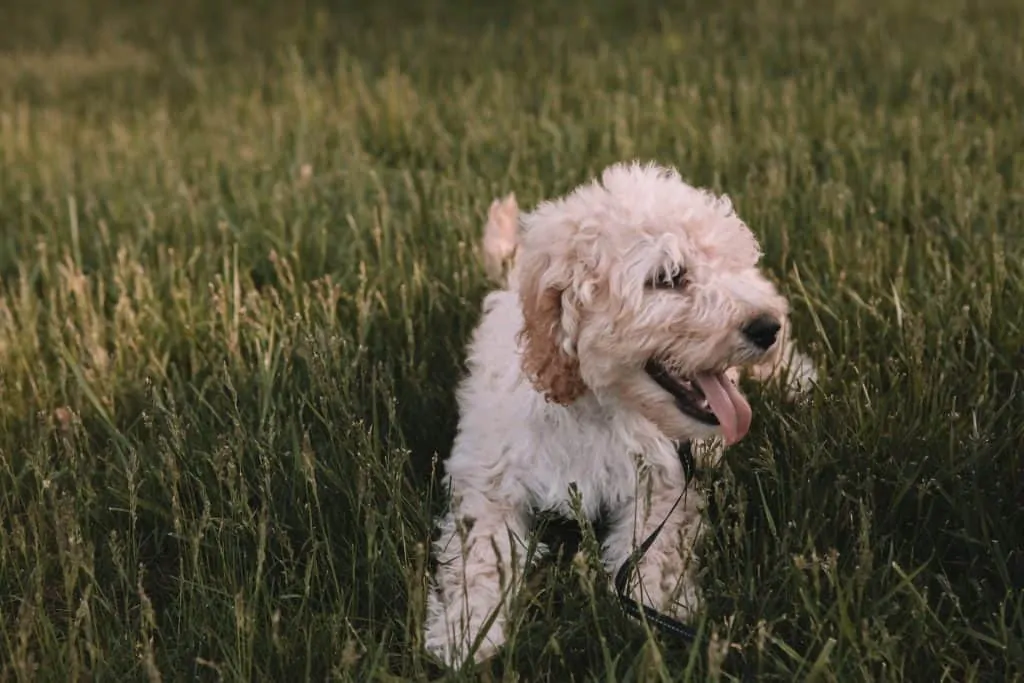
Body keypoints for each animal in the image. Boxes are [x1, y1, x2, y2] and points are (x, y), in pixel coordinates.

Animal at [421, 161, 815, 667]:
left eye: (731, 266)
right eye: (667, 277)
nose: (766, 327)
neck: (596, 403)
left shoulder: (665, 479)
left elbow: (656, 546)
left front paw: (656, 609)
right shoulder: (489, 479)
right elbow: (480, 553)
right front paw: (466, 630)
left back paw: (797, 378)